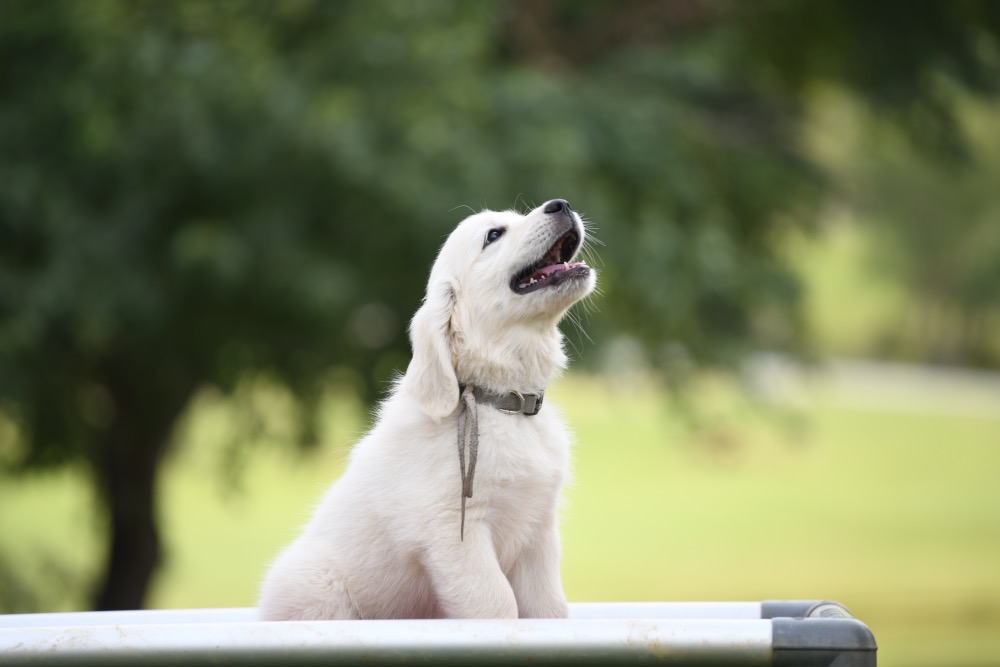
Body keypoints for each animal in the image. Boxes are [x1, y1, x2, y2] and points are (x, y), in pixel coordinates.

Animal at [262, 198, 596, 620]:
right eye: (494, 235)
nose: (561, 204)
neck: (501, 403)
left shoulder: (539, 531)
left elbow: (549, 607)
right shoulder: (456, 530)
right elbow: (497, 605)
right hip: (316, 589)